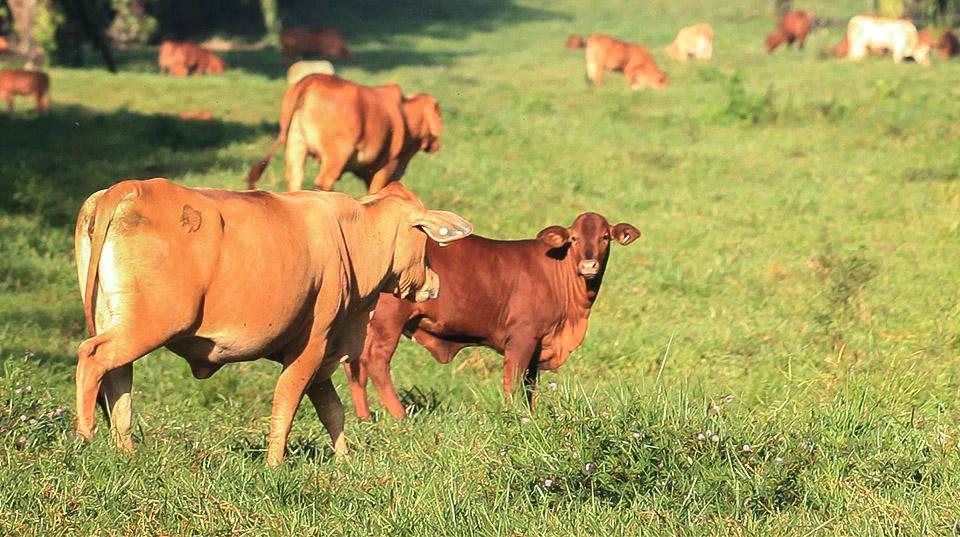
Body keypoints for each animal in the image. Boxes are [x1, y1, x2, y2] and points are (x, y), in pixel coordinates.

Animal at [75, 178, 472, 462]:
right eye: (425, 241)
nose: (435, 282)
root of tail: (132, 187)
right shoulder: (314, 343)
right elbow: (287, 400)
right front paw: (274, 463)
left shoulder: (325, 352)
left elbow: (332, 410)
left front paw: (344, 460)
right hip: (151, 323)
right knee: (92, 357)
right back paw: (84, 437)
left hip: (116, 319)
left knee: (117, 380)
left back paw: (125, 452)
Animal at [246, 73, 444, 193]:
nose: (437, 145)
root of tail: (312, 79)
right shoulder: (388, 167)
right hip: (337, 154)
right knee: (324, 181)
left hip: (295, 145)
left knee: (294, 177)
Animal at [348, 211, 640, 420]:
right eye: (574, 238)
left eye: (605, 237)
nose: (589, 265)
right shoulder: (522, 336)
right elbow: (513, 380)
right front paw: (515, 416)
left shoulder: (538, 343)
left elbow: (531, 385)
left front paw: (531, 415)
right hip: (388, 321)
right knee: (376, 361)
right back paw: (400, 417)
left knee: (355, 364)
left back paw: (365, 418)